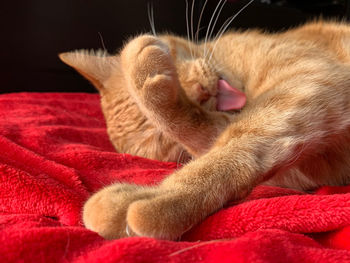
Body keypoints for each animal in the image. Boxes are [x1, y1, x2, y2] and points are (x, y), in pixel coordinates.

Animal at [58, 19, 350, 240]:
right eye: (166, 141)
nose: (201, 92)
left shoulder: (310, 77)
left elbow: (237, 141)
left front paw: (156, 196)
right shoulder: (310, 167)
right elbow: (215, 144)